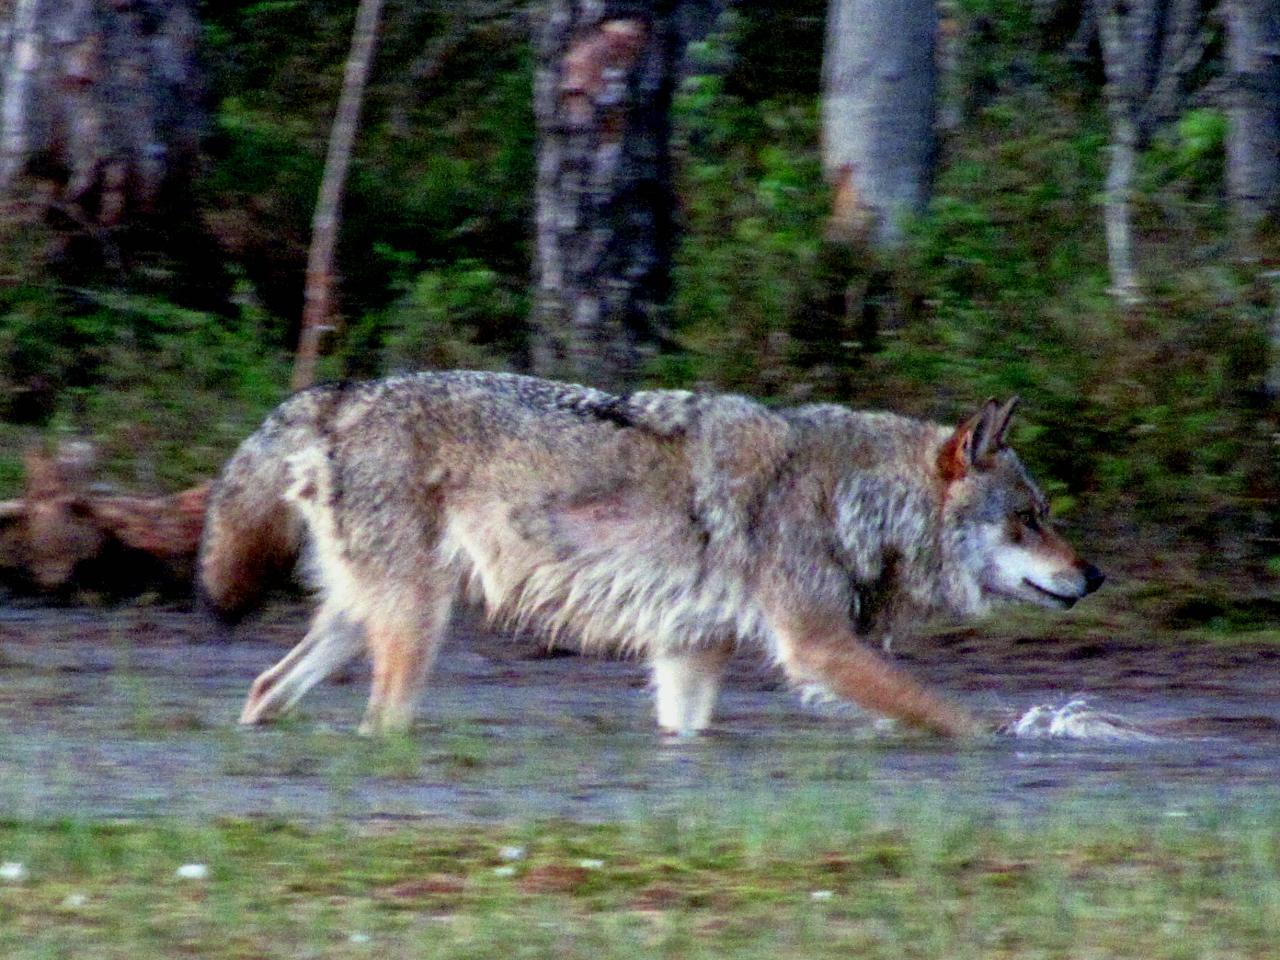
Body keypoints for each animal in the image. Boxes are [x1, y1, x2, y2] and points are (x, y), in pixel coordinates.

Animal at [199, 371, 1100, 742]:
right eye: (1029, 520)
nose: (1094, 576)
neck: (855, 496)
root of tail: (337, 396)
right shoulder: (817, 647)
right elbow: (952, 716)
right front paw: (1014, 741)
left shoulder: (689, 655)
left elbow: (687, 732)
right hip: (416, 627)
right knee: (375, 719)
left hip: (361, 622)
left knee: (265, 688)